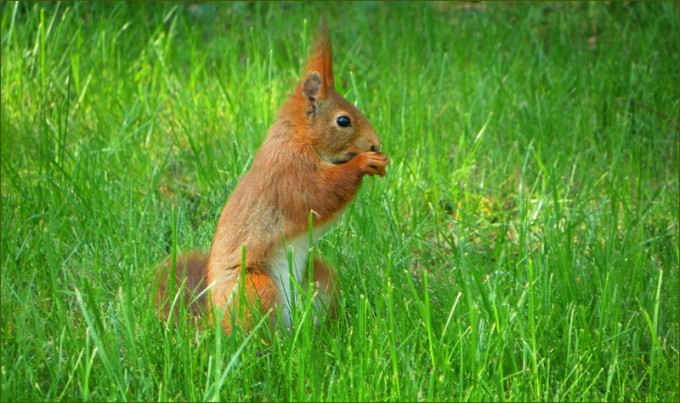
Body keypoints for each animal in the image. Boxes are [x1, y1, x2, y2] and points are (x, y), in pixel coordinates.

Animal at [154, 25, 389, 334]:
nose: (375, 143)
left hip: (319, 277)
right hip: (256, 287)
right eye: (343, 121)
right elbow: (321, 194)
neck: (298, 138)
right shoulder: (291, 174)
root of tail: (214, 324)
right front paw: (365, 163)